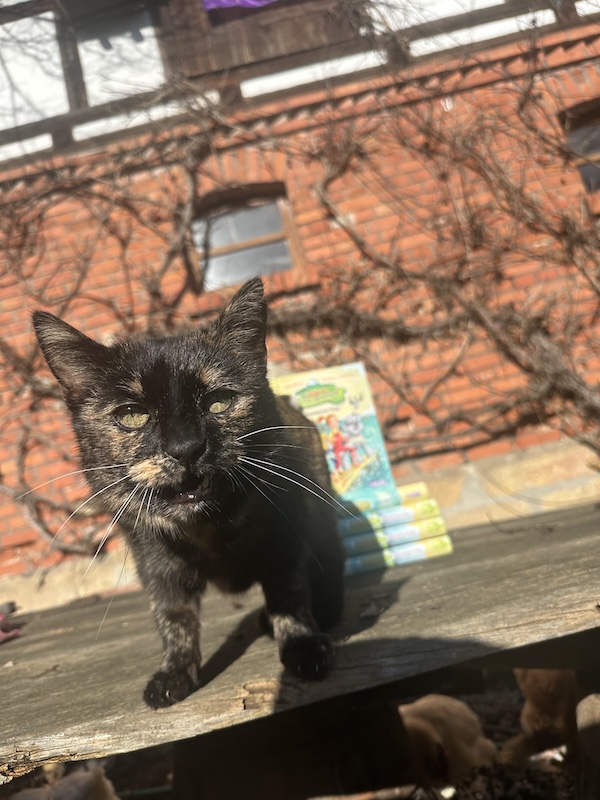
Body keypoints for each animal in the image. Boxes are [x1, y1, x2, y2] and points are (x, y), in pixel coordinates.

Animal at [33, 277, 345, 708]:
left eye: (219, 401)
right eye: (132, 415)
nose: (186, 448)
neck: (210, 529)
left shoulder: (284, 536)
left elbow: (289, 595)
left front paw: (303, 648)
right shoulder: (155, 562)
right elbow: (173, 617)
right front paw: (175, 674)